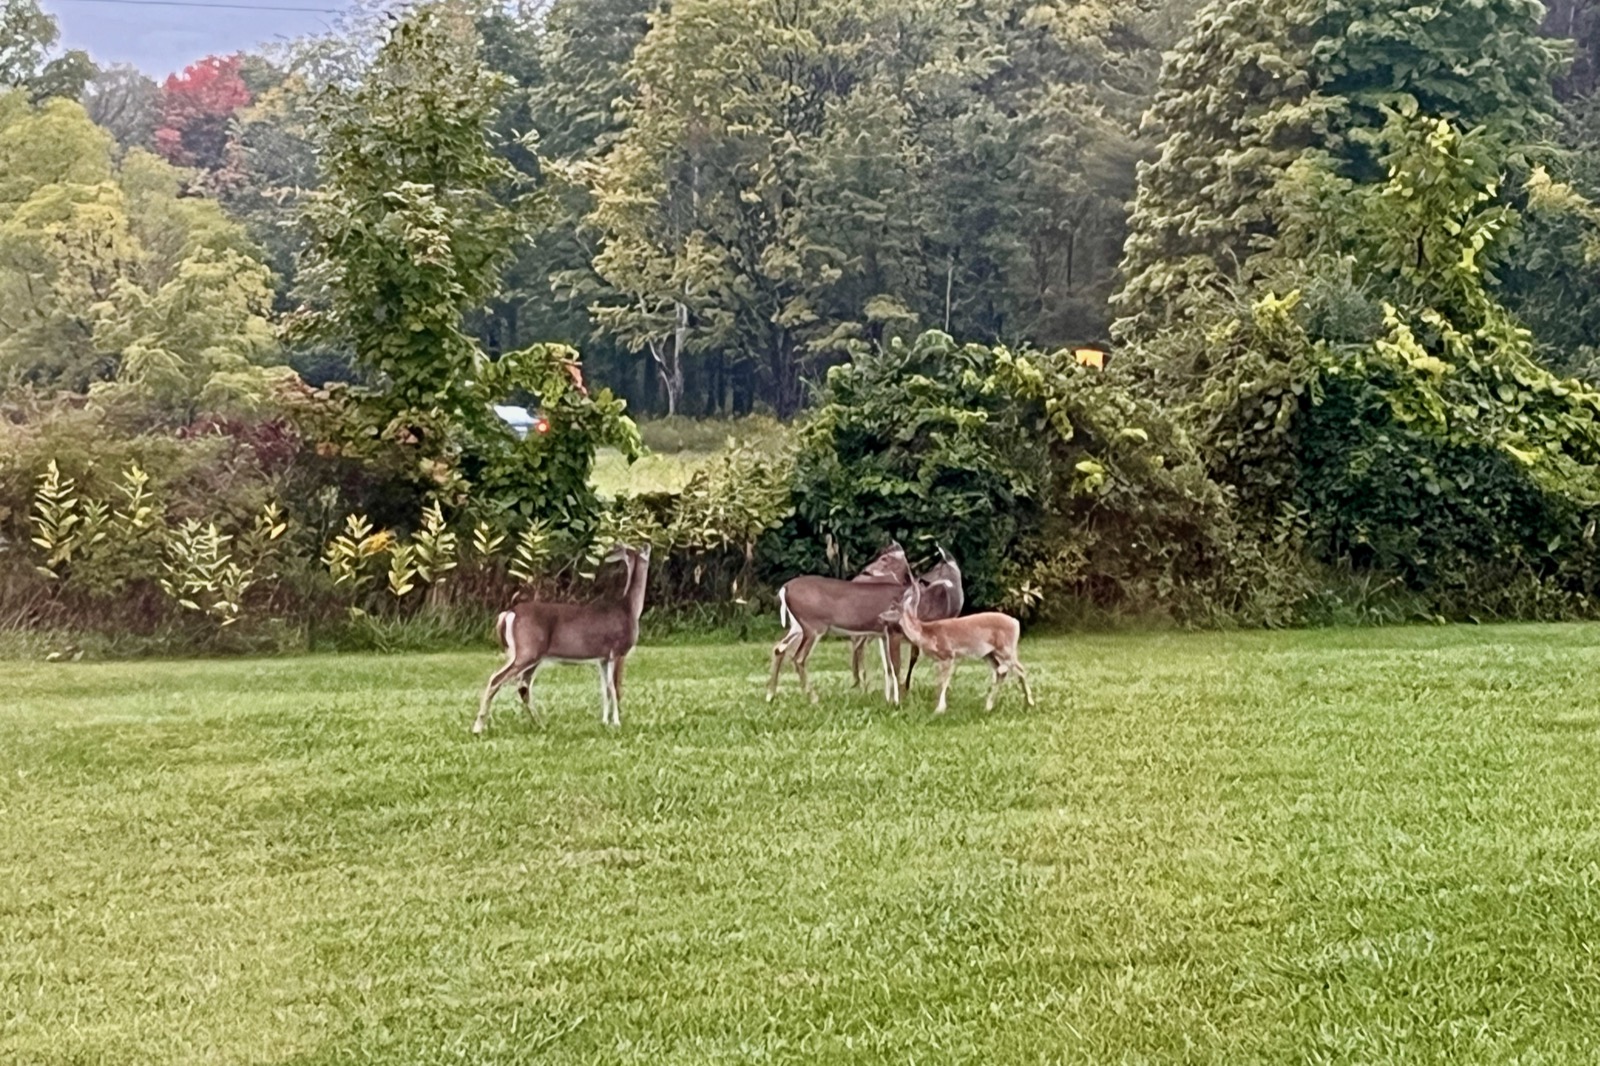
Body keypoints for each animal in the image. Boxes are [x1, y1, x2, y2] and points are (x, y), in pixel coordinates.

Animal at [473, 541, 649, 729]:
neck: (629, 609)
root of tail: (509, 613)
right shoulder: (618, 651)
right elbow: (615, 688)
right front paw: (616, 722)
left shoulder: (602, 658)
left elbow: (605, 689)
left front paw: (604, 721)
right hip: (527, 651)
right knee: (497, 679)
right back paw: (478, 726)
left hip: (529, 655)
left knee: (522, 686)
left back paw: (540, 723)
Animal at [764, 541, 915, 704]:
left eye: (885, 558)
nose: (866, 571)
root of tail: (784, 588)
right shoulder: (890, 630)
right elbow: (894, 665)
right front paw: (897, 699)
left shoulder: (882, 633)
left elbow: (888, 666)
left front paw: (888, 698)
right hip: (813, 625)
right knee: (798, 658)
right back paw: (813, 698)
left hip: (797, 626)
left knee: (779, 648)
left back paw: (770, 695)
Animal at [883, 576, 1030, 717]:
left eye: (892, 608)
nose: (880, 616)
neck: (926, 633)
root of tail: (1016, 623)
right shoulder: (940, 660)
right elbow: (940, 681)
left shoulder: (948, 654)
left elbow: (943, 682)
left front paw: (939, 709)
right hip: (989, 653)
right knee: (1002, 672)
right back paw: (989, 706)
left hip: (1007, 648)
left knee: (1019, 669)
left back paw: (1029, 703)